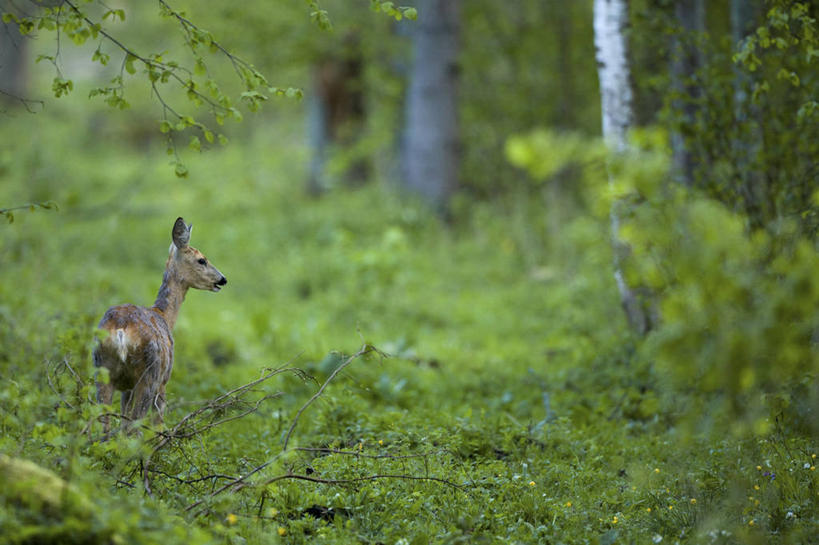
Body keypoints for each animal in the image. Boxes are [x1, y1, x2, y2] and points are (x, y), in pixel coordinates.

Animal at [93, 217, 227, 434]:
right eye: (202, 260)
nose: (222, 279)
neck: (165, 316)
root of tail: (121, 329)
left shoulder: (126, 388)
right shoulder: (164, 381)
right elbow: (159, 425)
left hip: (102, 369)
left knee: (105, 427)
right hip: (149, 375)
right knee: (136, 426)